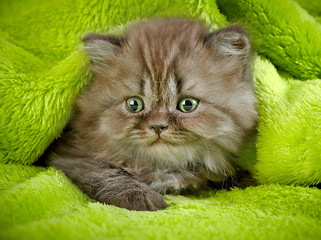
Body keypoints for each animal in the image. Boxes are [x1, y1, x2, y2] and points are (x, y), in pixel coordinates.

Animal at [48, 17, 258, 211]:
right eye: (134, 104)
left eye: (187, 104)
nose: (158, 126)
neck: (163, 167)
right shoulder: (71, 155)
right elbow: (106, 172)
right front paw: (143, 198)